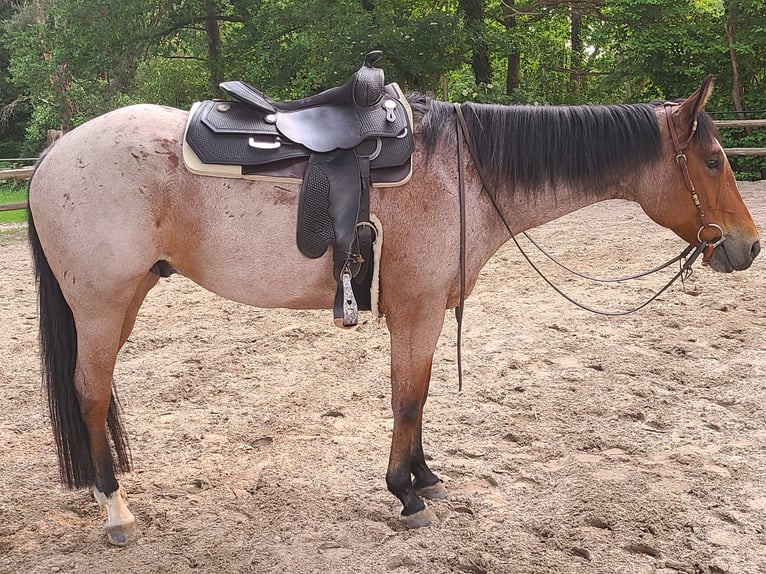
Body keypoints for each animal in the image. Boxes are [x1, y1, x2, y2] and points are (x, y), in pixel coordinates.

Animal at [27, 76, 759, 545]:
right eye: (713, 160)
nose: (749, 246)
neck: (464, 171)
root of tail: (54, 156)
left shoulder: (423, 310)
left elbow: (421, 394)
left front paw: (425, 478)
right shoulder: (416, 308)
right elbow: (408, 396)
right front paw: (405, 494)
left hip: (123, 301)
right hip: (100, 305)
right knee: (90, 393)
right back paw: (116, 511)